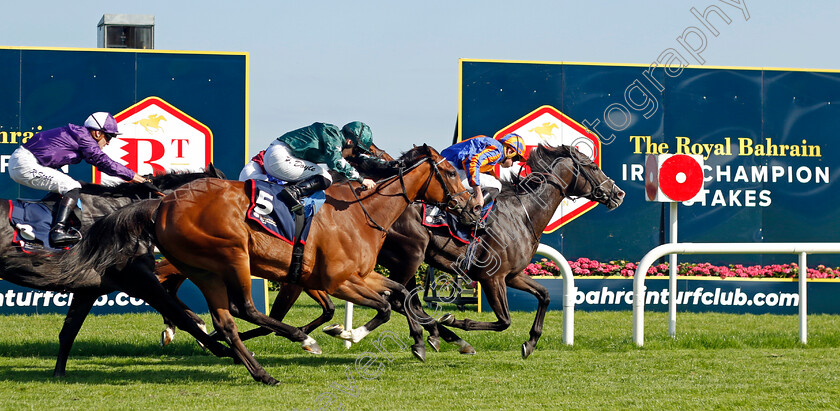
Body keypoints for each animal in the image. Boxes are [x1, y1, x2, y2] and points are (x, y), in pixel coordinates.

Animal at [0, 166, 236, 378]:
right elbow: (180, 314)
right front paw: (224, 348)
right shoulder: (136, 277)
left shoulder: (89, 289)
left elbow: (68, 332)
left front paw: (58, 374)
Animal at [65, 146, 480, 386]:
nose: (473, 210)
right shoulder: (339, 280)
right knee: (241, 307)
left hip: (206, 269)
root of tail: (163, 203)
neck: (362, 212)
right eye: (451, 173)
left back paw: (251, 364)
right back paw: (295, 340)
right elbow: (384, 306)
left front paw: (426, 340)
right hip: (233, 255)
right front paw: (347, 333)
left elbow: (400, 295)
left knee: (223, 316)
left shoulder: (358, 275)